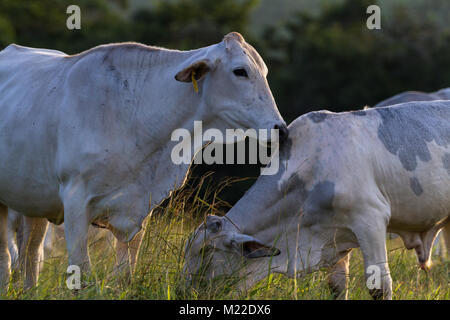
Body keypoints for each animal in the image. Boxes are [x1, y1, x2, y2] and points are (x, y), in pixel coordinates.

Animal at [0, 31, 286, 290]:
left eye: (264, 71)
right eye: (240, 71)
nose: (280, 129)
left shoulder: (139, 209)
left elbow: (125, 276)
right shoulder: (75, 202)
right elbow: (83, 276)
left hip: (34, 203)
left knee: (30, 257)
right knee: (7, 260)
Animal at [185, 100, 450, 300]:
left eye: (205, 252)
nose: (183, 291)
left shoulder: (370, 219)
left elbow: (379, 287)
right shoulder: (335, 238)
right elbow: (337, 287)